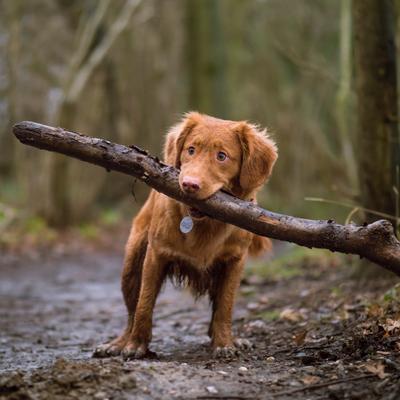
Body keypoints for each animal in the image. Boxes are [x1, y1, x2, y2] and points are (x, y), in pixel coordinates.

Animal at [94, 112, 278, 360]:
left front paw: (224, 343)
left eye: (222, 156)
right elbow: (144, 304)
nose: (189, 184)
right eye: (191, 150)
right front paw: (136, 345)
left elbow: (225, 306)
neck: (204, 223)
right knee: (132, 310)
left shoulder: (234, 261)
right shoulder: (156, 255)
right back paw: (119, 343)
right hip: (132, 264)